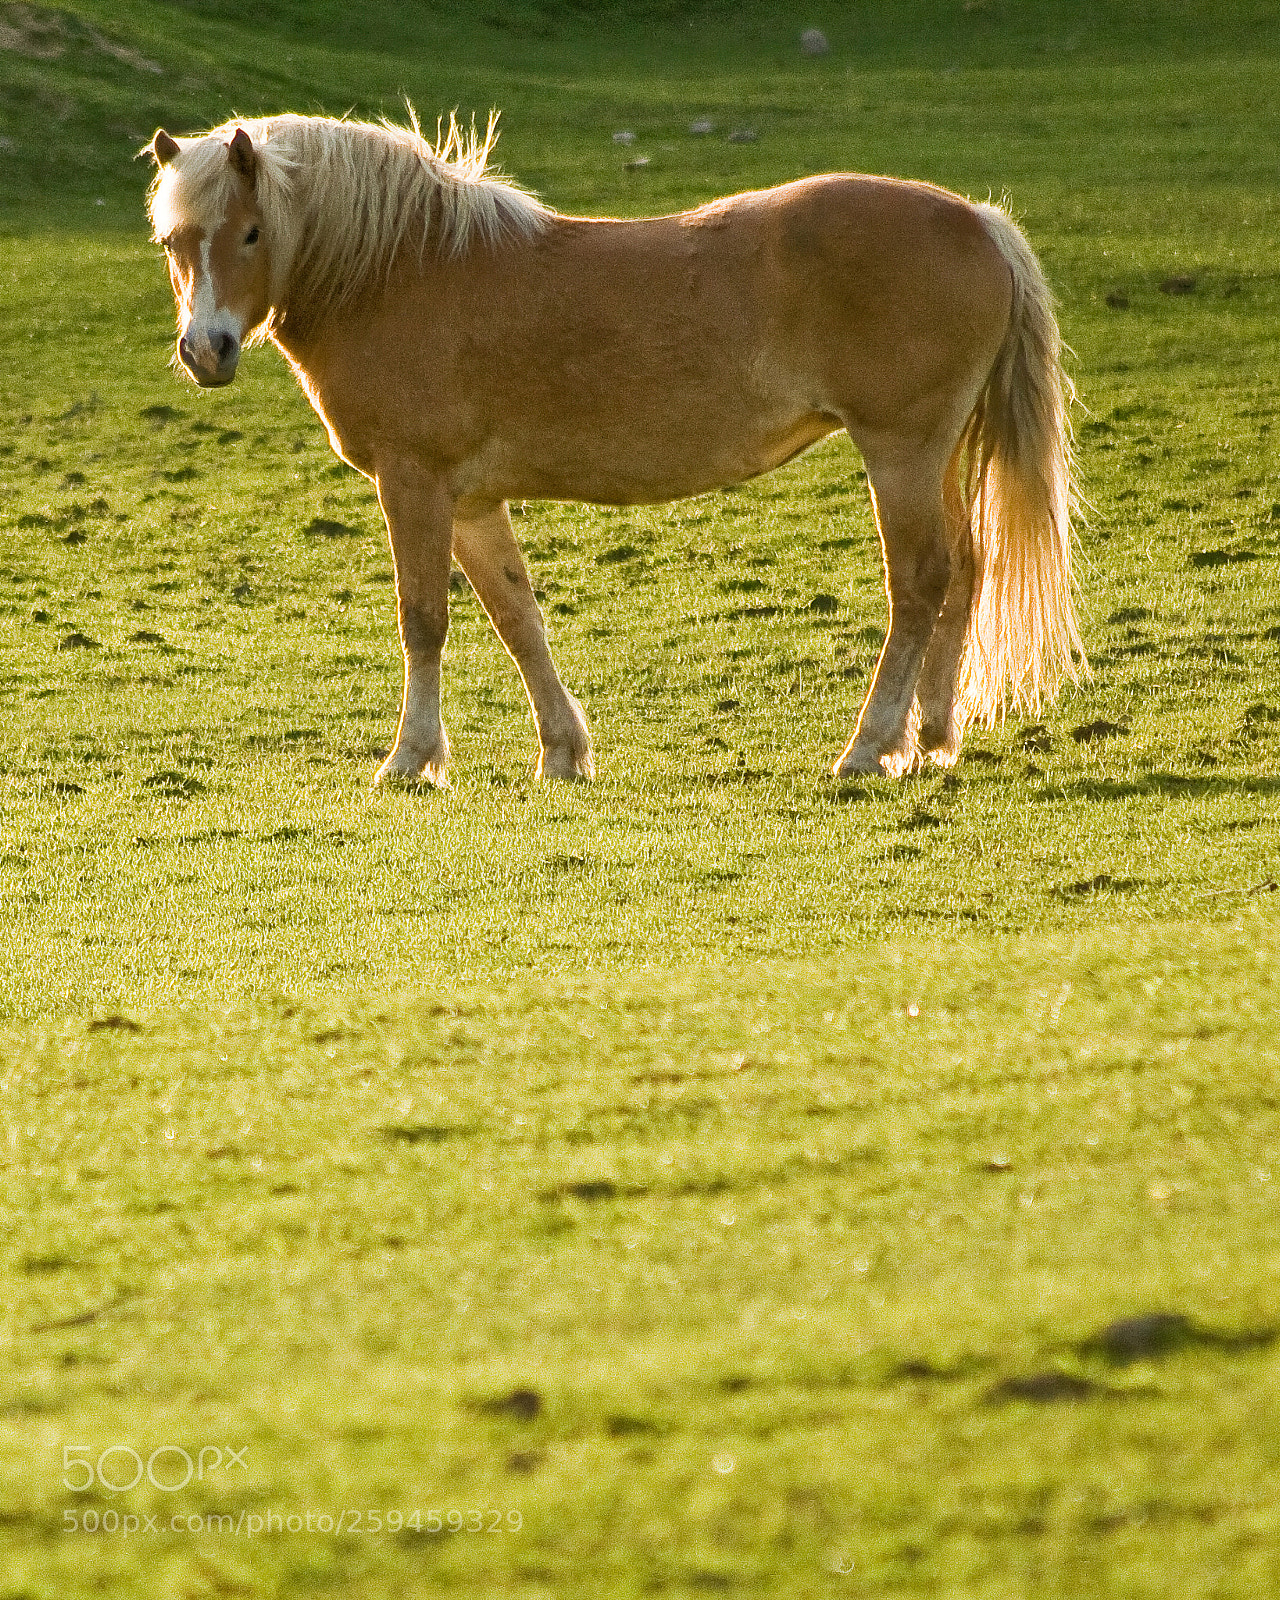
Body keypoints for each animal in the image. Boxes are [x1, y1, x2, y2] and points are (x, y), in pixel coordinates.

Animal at [145, 111, 1085, 786]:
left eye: (251, 232)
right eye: (172, 241)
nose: (205, 350)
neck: (399, 271)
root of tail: (980, 221)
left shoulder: (415, 484)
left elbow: (424, 620)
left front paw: (411, 760)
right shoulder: (472, 501)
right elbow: (518, 619)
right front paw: (562, 752)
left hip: (900, 451)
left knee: (919, 583)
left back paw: (870, 746)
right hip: (938, 453)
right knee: (964, 572)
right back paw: (932, 736)